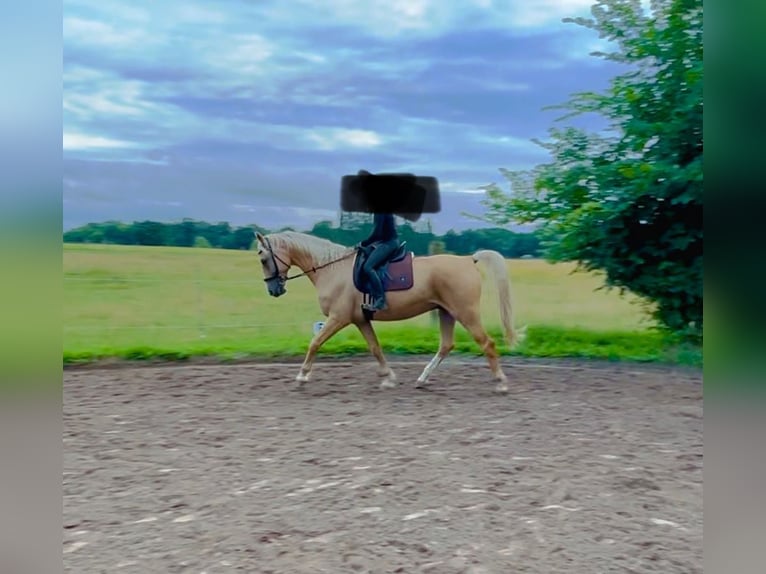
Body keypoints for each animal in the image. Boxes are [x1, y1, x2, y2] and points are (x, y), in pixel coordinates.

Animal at [255, 231, 524, 396]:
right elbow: (375, 348)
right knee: (447, 345)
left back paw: (501, 383)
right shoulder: (360, 320)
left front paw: (302, 376)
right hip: (446, 312)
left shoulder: (339, 318)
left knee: (486, 343)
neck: (332, 269)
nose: (274, 290)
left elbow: (315, 343)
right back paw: (422, 379)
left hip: (465, 313)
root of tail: (469, 260)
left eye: (263, 258)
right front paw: (388, 377)